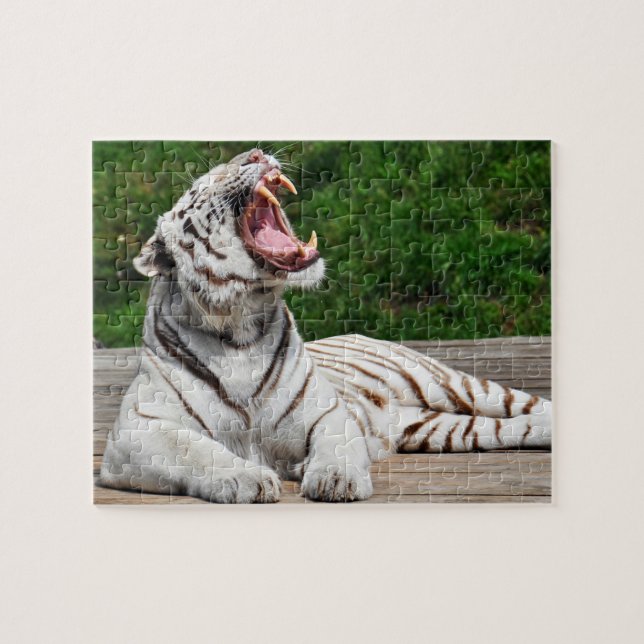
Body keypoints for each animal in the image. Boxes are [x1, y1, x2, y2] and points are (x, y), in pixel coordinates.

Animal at [99, 148, 552, 503]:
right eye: (203, 184)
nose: (256, 154)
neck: (242, 326)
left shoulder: (328, 410)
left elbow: (334, 444)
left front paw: (336, 479)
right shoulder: (137, 431)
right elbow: (195, 449)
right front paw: (246, 479)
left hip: (455, 385)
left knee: (529, 404)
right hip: (442, 428)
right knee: (514, 426)